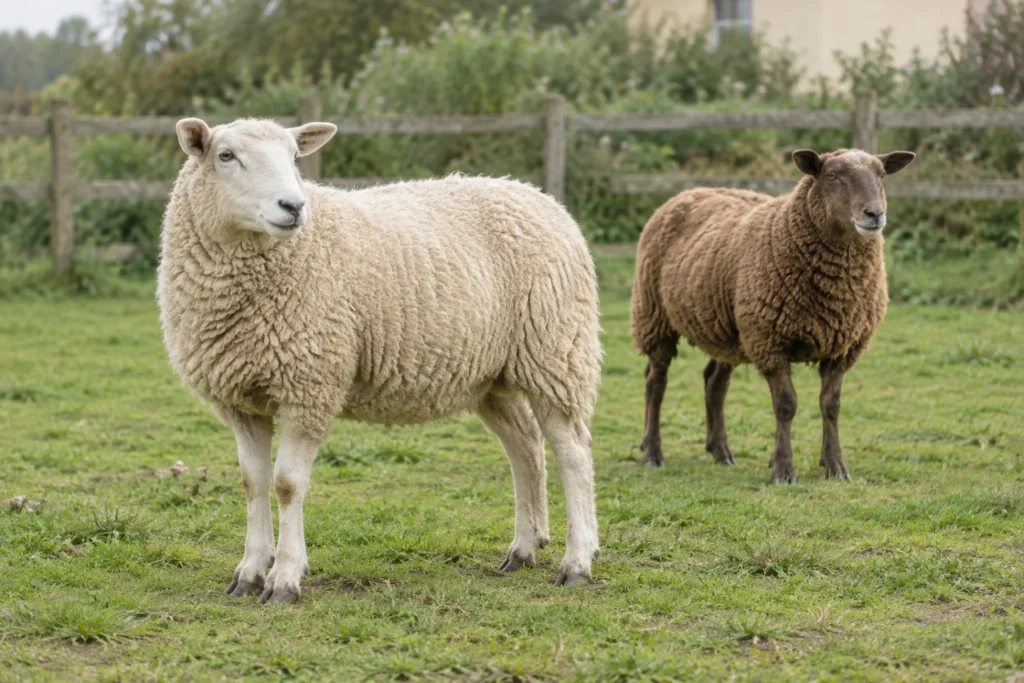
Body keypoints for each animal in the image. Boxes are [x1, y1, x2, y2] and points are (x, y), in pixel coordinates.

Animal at [157, 117, 602, 603]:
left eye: (294, 156)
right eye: (226, 156)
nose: (293, 206)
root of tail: (537, 195)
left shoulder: (309, 386)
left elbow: (287, 484)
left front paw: (285, 577)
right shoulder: (241, 399)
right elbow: (253, 483)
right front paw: (250, 571)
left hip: (555, 351)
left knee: (573, 452)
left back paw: (578, 560)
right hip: (492, 375)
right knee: (525, 447)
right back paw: (524, 548)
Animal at [630, 148, 915, 483]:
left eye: (882, 174)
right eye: (832, 175)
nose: (874, 214)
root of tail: (689, 191)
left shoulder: (843, 348)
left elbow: (831, 405)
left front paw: (835, 466)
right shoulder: (770, 342)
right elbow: (786, 405)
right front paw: (783, 469)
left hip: (728, 328)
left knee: (714, 384)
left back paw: (721, 451)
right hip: (655, 316)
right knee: (655, 382)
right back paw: (652, 452)